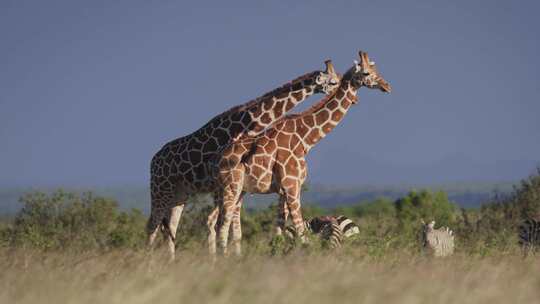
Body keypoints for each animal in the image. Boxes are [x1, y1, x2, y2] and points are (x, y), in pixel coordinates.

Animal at [148, 60, 340, 260]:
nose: (340, 88)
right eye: (333, 81)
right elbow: (219, 222)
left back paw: (171, 260)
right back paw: (149, 260)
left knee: (170, 226)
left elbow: (226, 225)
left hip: (180, 194)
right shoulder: (224, 184)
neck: (246, 124)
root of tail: (153, 160)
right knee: (153, 225)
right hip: (160, 189)